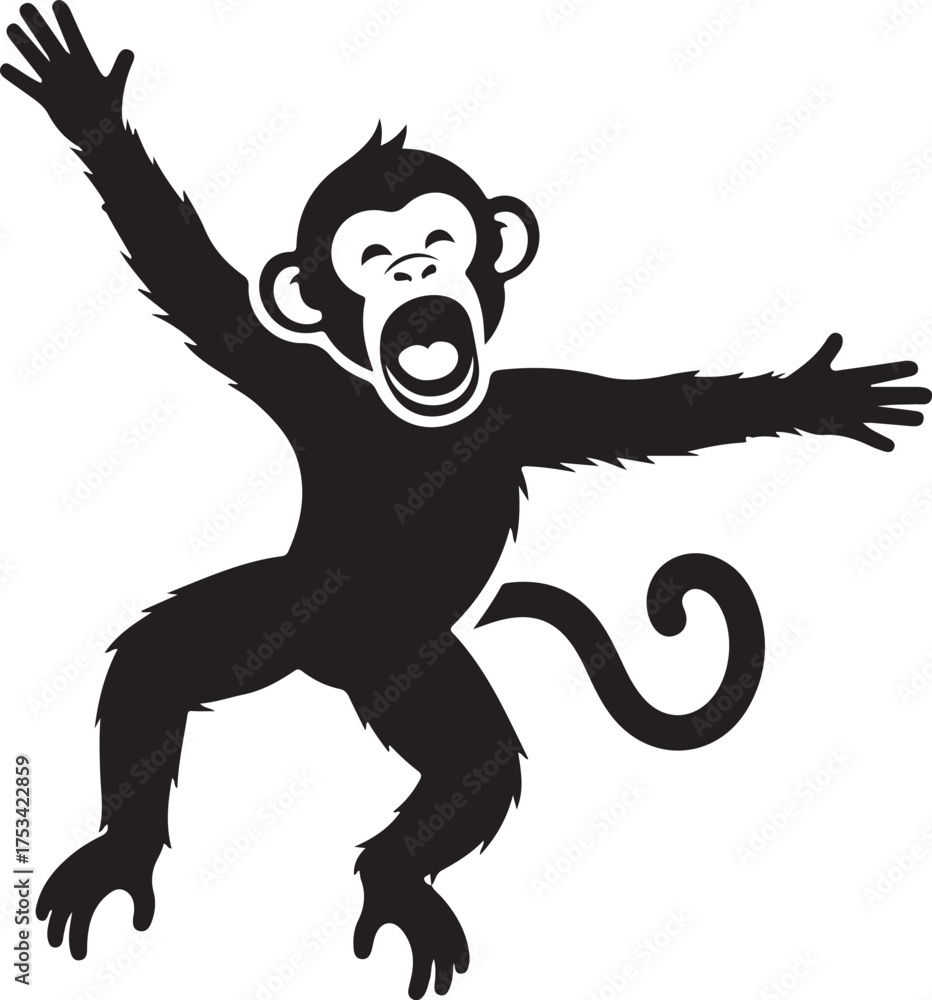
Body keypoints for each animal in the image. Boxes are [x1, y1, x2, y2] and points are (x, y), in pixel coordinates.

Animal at [3, 5, 929, 997]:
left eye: (440, 240)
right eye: (370, 255)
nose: (412, 271)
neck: (416, 423)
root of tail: (330, 665)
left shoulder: (534, 405)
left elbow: (663, 414)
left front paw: (822, 397)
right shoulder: (308, 384)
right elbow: (199, 292)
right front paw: (87, 109)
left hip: (407, 664)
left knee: (471, 766)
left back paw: (393, 880)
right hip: (285, 612)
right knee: (160, 661)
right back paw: (123, 850)